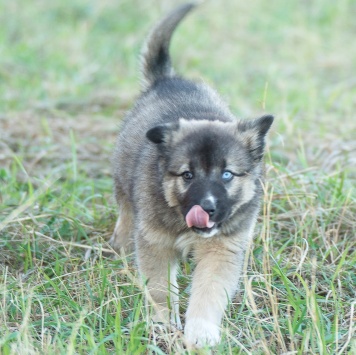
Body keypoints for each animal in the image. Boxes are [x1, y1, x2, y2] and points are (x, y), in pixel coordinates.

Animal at [111, 2, 276, 348]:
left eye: (227, 175)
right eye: (187, 175)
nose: (207, 208)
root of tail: (167, 79)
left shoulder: (222, 249)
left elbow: (208, 293)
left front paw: (201, 334)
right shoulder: (155, 243)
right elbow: (159, 289)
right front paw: (162, 325)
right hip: (124, 187)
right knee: (126, 215)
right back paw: (120, 247)